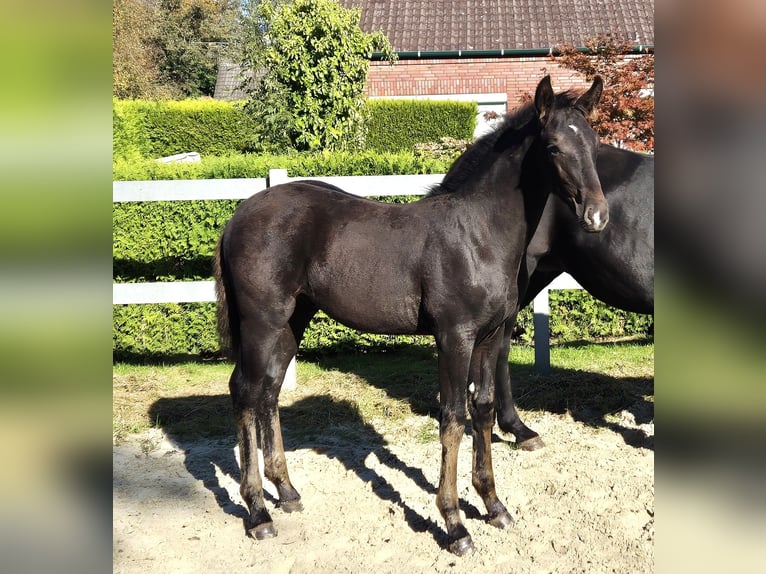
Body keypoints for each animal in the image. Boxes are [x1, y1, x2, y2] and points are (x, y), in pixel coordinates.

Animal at [213, 74, 608, 556]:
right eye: (553, 147)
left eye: (593, 142)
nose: (597, 216)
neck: (477, 233)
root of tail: (238, 215)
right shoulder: (454, 337)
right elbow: (453, 418)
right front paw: (455, 523)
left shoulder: (489, 337)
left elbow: (483, 410)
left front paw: (494, 505)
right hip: (261, 321)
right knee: (245, 392)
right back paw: (257, 512)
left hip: (293, 320)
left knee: (269, 391)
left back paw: (286, 492)